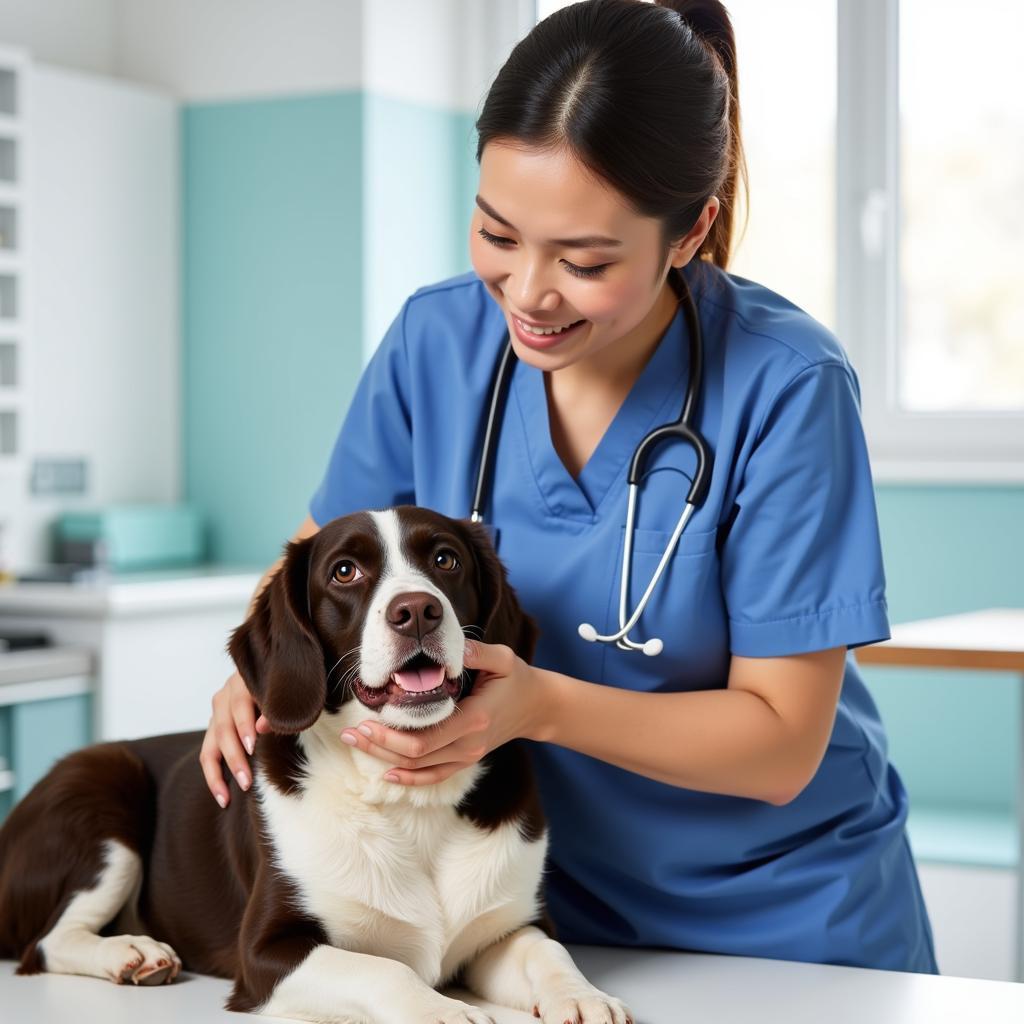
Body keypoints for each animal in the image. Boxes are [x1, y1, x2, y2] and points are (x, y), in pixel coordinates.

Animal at [0, 505, 630, 1024]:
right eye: (344, 572)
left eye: (446, 559)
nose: (417, 611)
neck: (405, 797)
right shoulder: (265, 954)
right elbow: (384, 969)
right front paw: (442, 1010)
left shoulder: (508, 926)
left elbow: (546, 950)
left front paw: (582, 995)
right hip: (105, 782)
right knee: (45, 943)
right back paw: (130, 951)